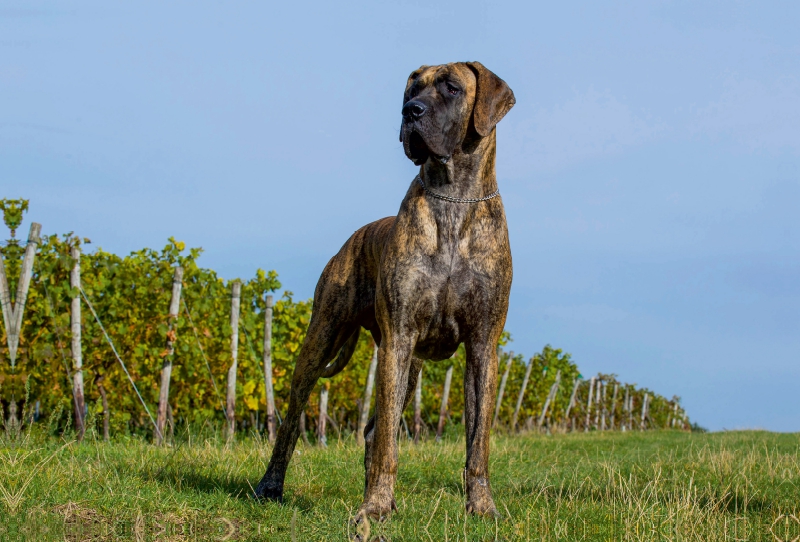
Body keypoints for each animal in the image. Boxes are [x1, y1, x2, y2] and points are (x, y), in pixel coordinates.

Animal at [258, 60, 520, 524]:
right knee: (292, 422)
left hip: (409, 367)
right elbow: (387, 447)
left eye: (452, 88)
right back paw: (272, 484)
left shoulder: (482, 346)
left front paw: (481, 505)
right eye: (412, 89)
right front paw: (375, 506)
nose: (410, 111)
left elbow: (478, 443)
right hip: (322, 342)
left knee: (372, 430)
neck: (452, 198)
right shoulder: (398, 337)